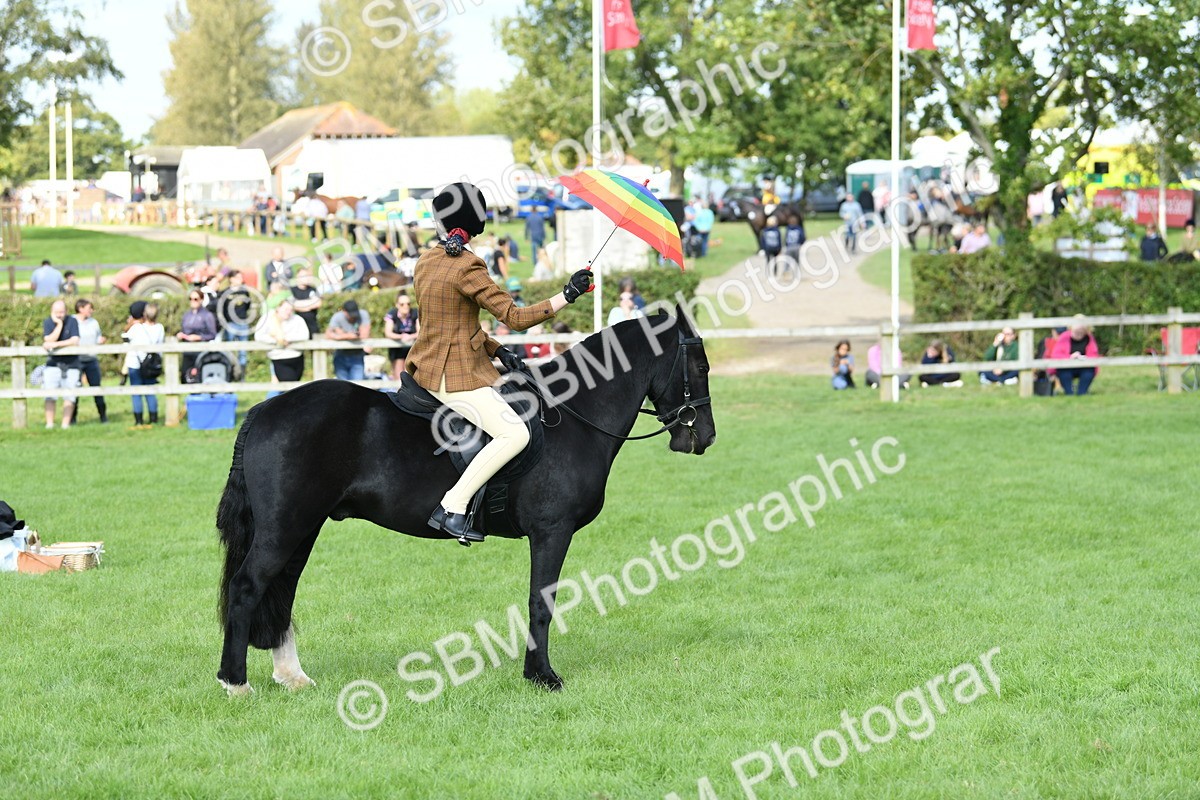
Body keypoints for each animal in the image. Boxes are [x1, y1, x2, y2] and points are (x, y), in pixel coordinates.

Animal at [215, 308, 717, 695]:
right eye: (700, 367)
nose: (705, 437)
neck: (574, 415)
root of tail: (265, 410)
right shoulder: (551, 532)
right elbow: (541, 601)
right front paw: (542, 676)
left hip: (302, 529)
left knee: (282, 591)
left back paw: (292, 677)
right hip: (285, 529)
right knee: (248, 588)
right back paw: (235, 682)